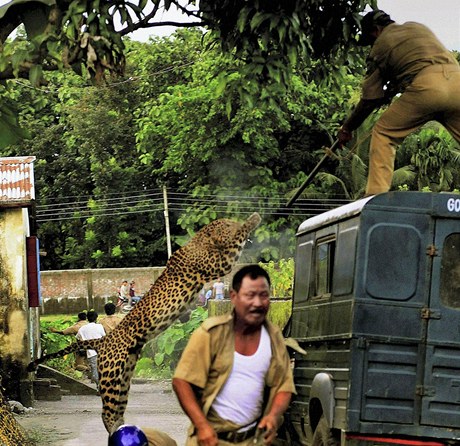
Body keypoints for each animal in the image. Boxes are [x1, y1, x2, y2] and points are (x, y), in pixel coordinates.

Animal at [27, 213, 260, 432]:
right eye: (227, 225)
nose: (234, 222)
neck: (202, 241)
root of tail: (103, 341)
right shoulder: (219, 264)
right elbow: (237, 241)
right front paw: (253, 219)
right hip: (111, 375)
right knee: (106, 411)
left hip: (124, 377)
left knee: (117, 408)